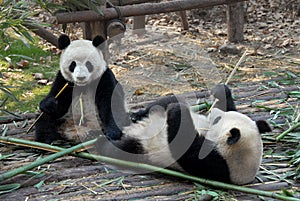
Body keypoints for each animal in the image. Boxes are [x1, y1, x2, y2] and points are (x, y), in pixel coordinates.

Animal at [96, 84, 272, 185]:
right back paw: (137, 115)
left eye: (217, 120)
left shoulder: (214, 163)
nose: (212, 112)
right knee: (163, 102)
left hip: (142, 148)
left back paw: (102, 141)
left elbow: (184, 145)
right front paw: (221, 90)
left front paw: (177, 111)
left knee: (120, 149)